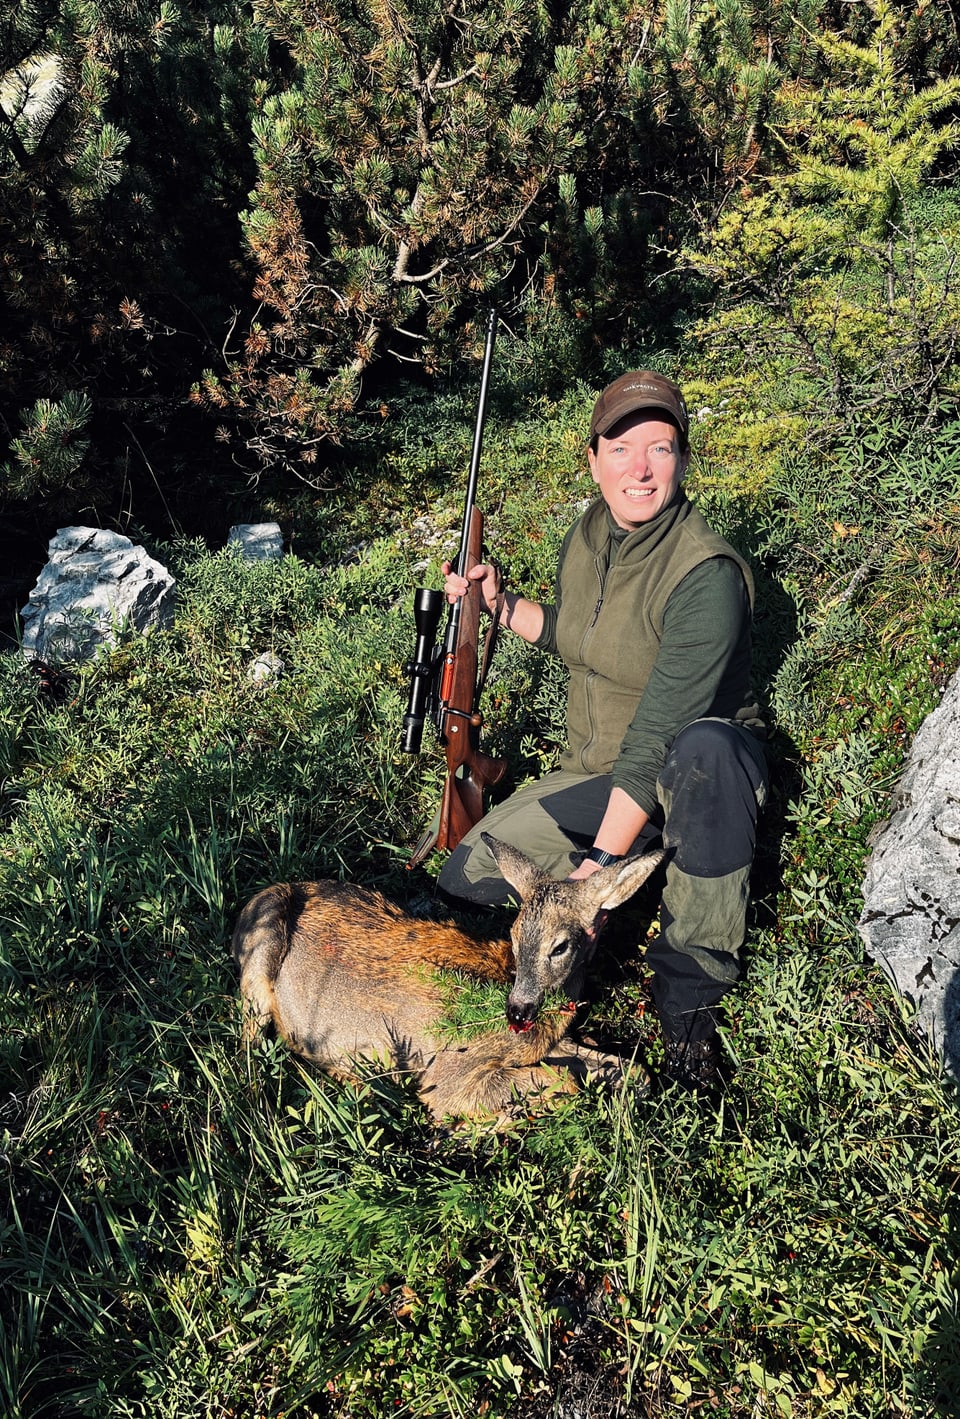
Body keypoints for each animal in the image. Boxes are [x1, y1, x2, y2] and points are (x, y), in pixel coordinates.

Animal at [235, 828, 663, 1118]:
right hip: (262, 944)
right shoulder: (442, 1073)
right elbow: (565, 1081)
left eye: (559, 946)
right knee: (250, 1046)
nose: (517, 1010)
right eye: (513, 933)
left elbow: (634, 1070)